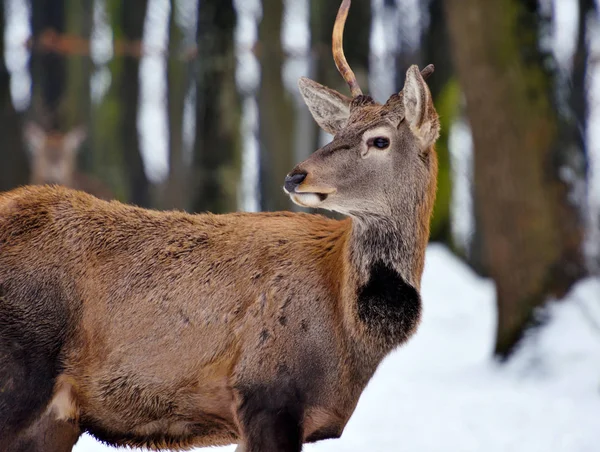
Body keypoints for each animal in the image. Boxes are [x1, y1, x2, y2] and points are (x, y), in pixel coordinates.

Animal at [0, 1, 440, 450]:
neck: (347, 333)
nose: (296, 176)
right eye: (337, 132)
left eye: (380, 140)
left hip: (56, 417)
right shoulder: (266, 390)